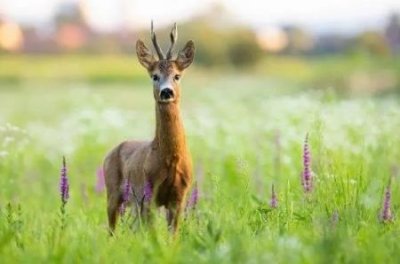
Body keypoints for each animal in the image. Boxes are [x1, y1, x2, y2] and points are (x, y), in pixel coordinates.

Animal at [103, 21, 195, 234]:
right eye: (154, 76)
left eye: (177, 76)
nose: (166, 92)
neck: (171, 159)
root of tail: (111, 152)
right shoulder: (149, 194)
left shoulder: (179, 197)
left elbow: (173, 235)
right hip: (114, 192)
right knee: (112, 229)